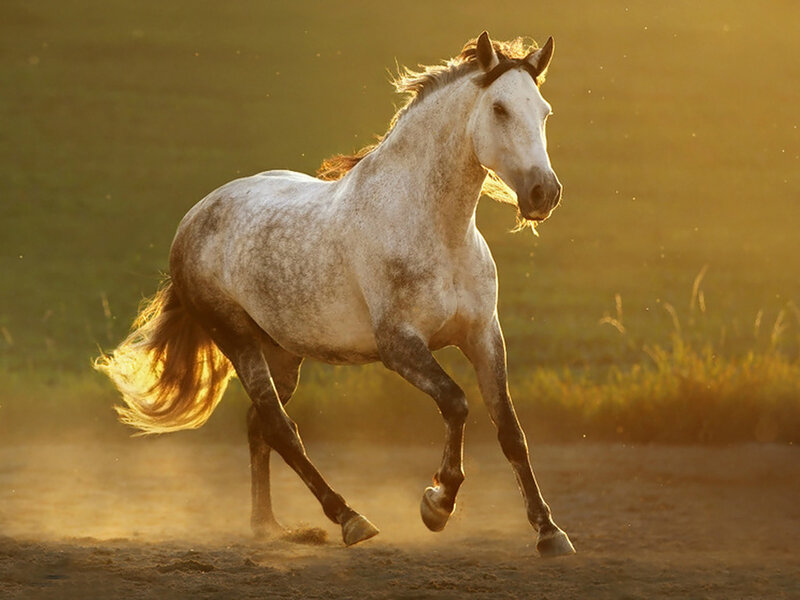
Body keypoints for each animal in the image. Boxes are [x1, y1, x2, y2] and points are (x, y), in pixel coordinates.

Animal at [96, 31, 575, 557]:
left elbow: (510, 430)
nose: (543, 194)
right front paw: (436, 504)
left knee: (260, 424)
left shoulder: (484, 336)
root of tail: (194, 217)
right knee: (281, 428)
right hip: (238, 341)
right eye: (499, 109)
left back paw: (270, 526)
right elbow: (456, 402)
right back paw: (349, 519)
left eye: (545, 111)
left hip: (282, 352)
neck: (436, 229)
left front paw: (549, 532)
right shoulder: (399, 345)